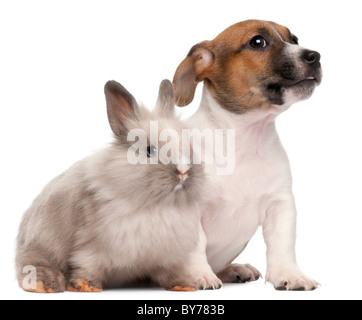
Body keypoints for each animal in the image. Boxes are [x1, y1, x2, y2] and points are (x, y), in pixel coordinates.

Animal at [15, 78, 222, 292]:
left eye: (190, 147)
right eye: (150, 150)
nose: (183, 171)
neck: (157, 206)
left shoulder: (166, 257)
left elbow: (170, 273)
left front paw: (184, 285)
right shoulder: (91, 248)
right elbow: (85, 265)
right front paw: (86, 286)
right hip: (39, 248)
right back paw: (44, 284)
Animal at [173, 19, 322, 290]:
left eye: (294, 39)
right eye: (257, 42)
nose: (315, 56)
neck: (244, 139)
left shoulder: (280, 205)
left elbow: (282, 245)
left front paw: (290, 274)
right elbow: (196, 244)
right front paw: (199, 274)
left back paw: (234, 269)